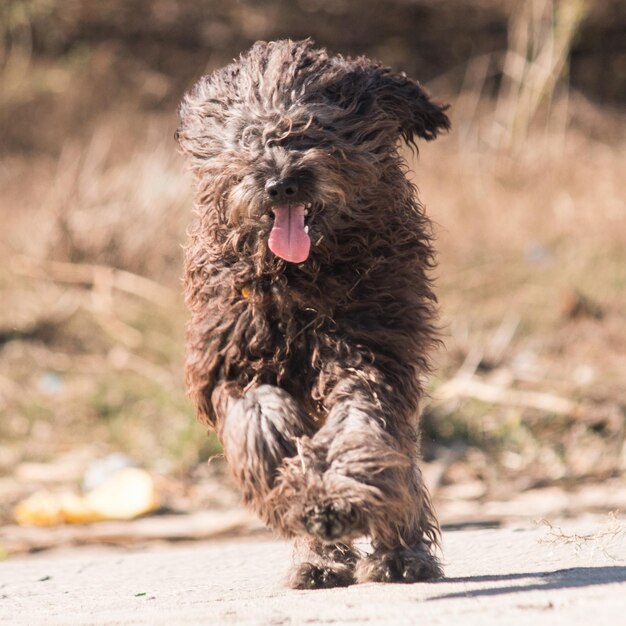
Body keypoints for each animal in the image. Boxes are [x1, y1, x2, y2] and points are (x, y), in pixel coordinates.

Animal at [176, 40, 448, 588]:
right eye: (247, 136)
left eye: (313, 129)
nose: (281, 184)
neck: (299, 277)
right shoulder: (232, 360)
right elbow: (260, 418)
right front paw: (305, 499)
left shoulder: (370, 353)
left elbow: (361, 428)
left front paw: (337, 501)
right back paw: (318, 560)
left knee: (398, 457)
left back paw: (400, 553)